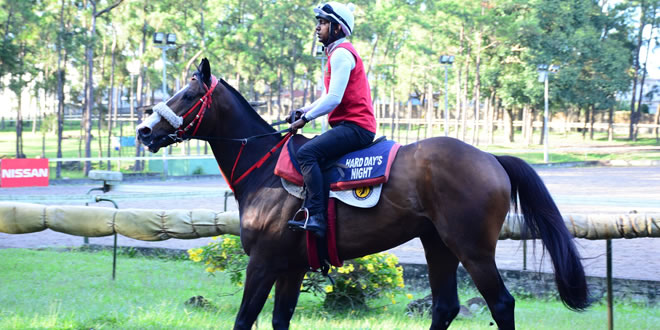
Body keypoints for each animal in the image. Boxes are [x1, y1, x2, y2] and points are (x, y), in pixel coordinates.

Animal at [137, 59, 592, 330]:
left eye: (188, 95)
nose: (143, 131)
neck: (265, 168)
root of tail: (489, 156)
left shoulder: (264, 262)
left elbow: (244, 319)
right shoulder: (291, 267)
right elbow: (280, 320)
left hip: (472, 249)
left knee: (501, 304)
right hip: (438, 245)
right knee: (445, 306)